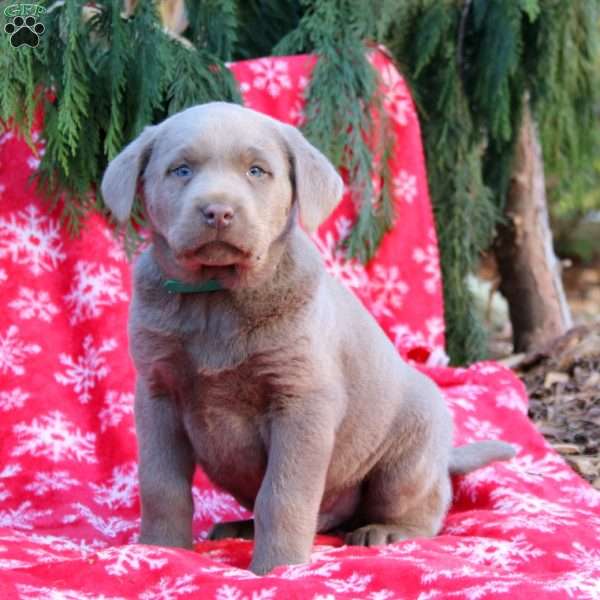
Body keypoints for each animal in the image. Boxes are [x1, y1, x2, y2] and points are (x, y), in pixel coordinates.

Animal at [101, 101, 512, 576]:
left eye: (257, 171)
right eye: (181, 170)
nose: (218, 211)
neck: (215, 300)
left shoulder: (302, 401)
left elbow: (283, 493)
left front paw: (278, 567)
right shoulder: (157, 393)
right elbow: (160, 482)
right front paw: (161, 550)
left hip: (409, 453)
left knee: (425, 505)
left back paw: (388, 531)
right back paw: (241, 527)